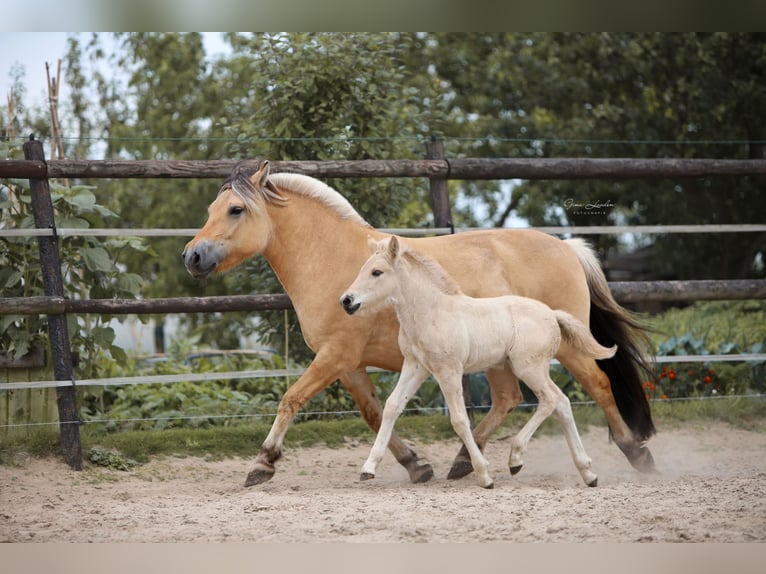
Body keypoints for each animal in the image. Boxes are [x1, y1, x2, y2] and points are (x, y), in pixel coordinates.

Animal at [340, 236, 614, 488]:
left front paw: (484, 475)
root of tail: (552, 314)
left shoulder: (449, 371)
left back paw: (516, 459)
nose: (346, 301)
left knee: (551, 399)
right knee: (563, 403)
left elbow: (460, 420)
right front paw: (368, 468)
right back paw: (588, 473)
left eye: (377, 272)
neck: (432, 312)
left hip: (528, 367)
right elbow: (392, 406)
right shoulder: (416, 366)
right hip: (534, 369)